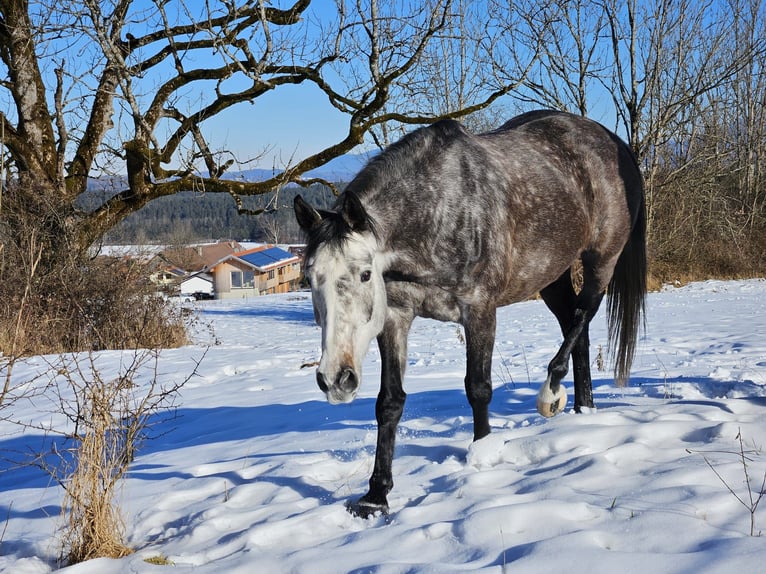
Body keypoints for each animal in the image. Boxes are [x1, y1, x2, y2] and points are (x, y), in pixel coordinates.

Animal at [293, 109, 646, 517]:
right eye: (309, 277)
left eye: (365, 274)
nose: (336, 379)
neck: (438, 211)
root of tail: (610, 140)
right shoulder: (396, 317)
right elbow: (390, 402)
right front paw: (375, 496)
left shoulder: (479, 310)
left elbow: (478, 388)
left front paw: (483, 456)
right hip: (551, 274)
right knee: (577, 327)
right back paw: (582, 408)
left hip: (601, 259)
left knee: (585, 311)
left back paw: (551, 392)